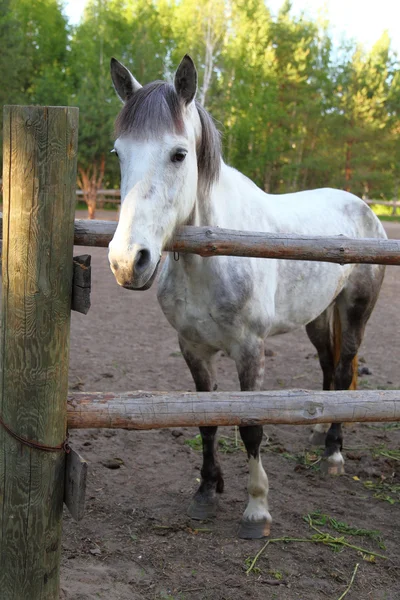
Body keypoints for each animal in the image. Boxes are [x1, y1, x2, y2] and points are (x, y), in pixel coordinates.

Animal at [108, 54, 386, 536]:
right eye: (119, 153)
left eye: (179, 154)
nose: (128, 261)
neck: (212, 254)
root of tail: (363, 207)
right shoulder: (193, 348)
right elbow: (207, 421)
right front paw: (206, 491)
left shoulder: (250, 350)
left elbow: (251, 426)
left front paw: (257, 509)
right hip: (317, 317)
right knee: (329, 367)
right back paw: (317, 433)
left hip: (354, 311)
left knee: (344, 367)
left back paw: (333, 450)